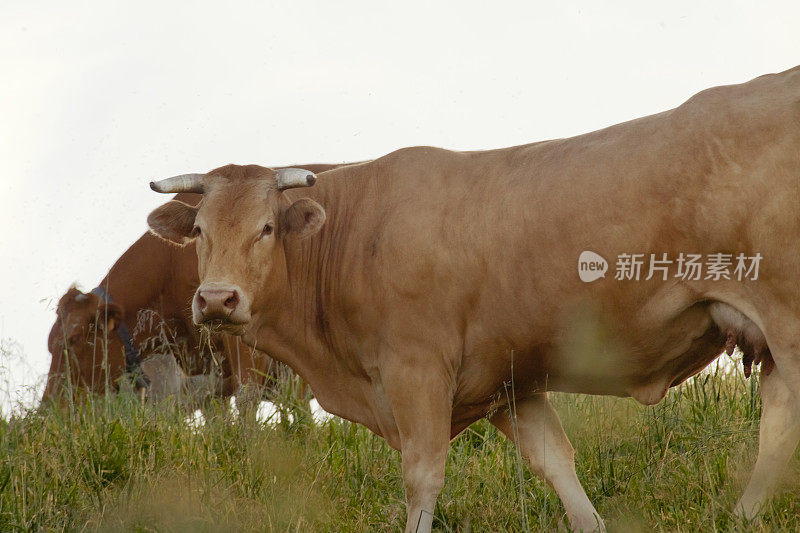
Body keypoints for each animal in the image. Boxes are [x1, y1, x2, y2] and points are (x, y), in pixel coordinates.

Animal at [145, 67, 800, 532]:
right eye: (199, 229)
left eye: (266, 228)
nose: (218, 299)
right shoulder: (508, 382)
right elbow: (556, 463)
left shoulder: (417, 372)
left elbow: (422, 478)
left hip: (787, 319)